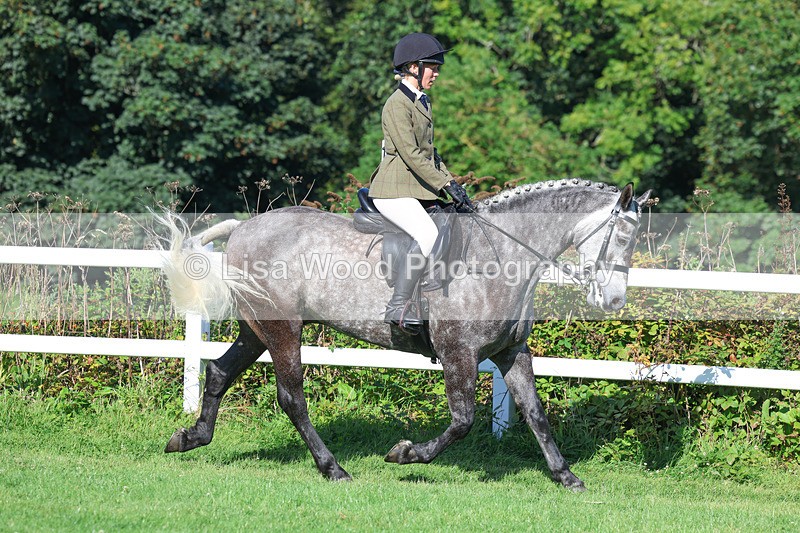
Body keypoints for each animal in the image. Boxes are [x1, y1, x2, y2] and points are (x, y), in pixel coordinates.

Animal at [160, 179, 651, 491]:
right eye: (623, 236)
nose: (614, 301)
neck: (501, 255)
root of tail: (244, 227)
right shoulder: (458, 352)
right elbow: (462, 421)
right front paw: (406, 453)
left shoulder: (512, 353)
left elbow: (536, 415)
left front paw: (566, 476)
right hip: (283, 329)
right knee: (292, 397)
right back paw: (333, 468)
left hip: (257, 328)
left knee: (219, 373)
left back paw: (190, 438)